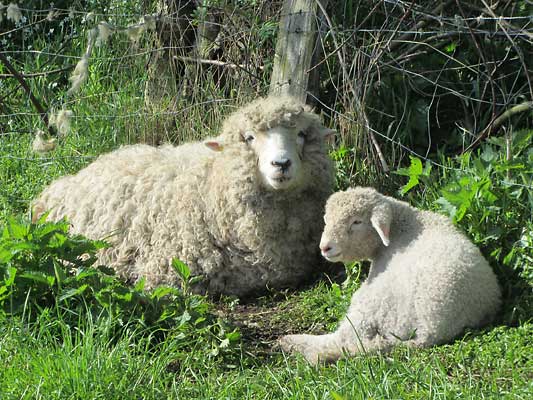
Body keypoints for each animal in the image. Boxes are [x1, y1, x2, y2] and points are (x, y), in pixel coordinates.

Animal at [280, 186, 500, 364]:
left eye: (357, 222)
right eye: (327, 220)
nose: (325, 247)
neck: (401, 228)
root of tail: (431, 330)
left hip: (375, 306)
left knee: (343, 339)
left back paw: (294, 343)